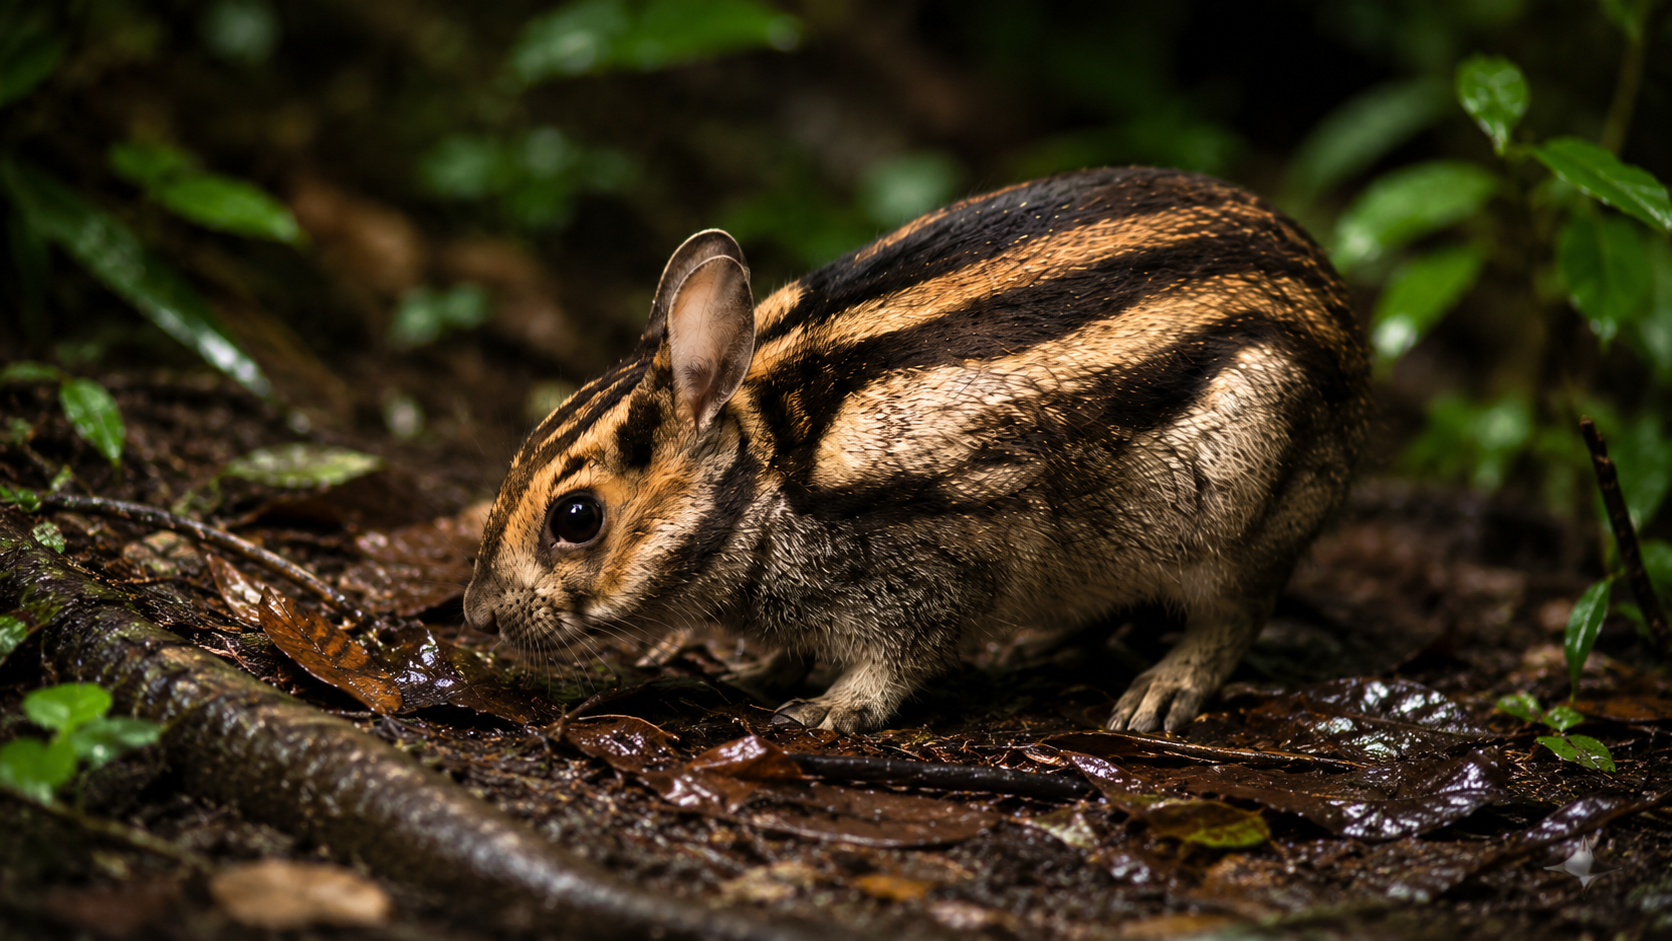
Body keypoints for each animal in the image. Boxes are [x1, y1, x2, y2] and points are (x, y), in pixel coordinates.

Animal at [463, 166, 1370, 734]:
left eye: (577, 518)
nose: (478, 613)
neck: (767, 470)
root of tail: (1345, 332)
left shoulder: (933, 568)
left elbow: (899, 658)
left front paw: (830, 708)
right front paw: (760, 676)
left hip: (1230, 510)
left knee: (1238, 608)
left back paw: (1156, 693)